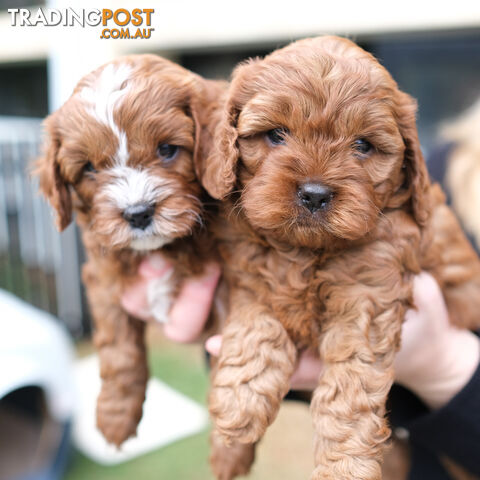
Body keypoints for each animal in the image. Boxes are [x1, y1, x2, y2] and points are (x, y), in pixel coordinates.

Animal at [37, 55, 225, 446]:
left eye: (167, 149)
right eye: (89, 168)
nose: (137, 213)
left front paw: (230, 447)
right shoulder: (103, 280)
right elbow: (119, 351)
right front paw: (116, 418)